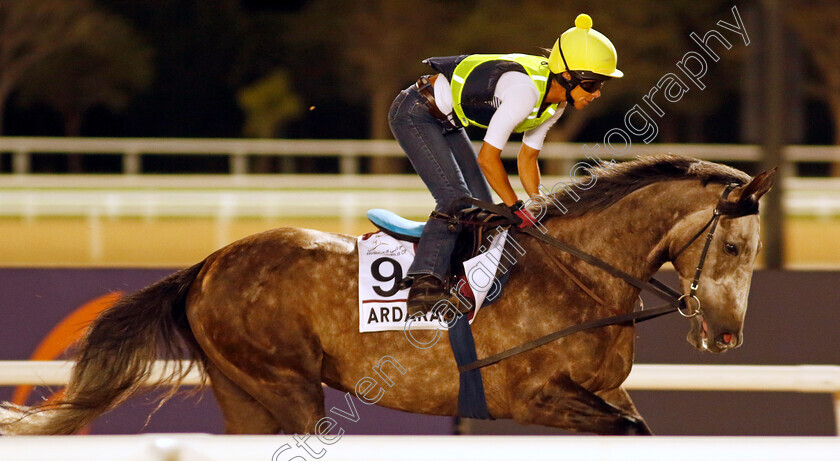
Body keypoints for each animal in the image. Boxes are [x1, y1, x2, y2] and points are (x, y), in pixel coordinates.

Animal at [0, 155, 776, 434]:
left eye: (754, 251)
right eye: (735, 247)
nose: (728, 334)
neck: (580, 273)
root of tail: (207, 264)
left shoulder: (607, 390)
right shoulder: (532, 396)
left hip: (242, 390)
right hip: (284, 384)